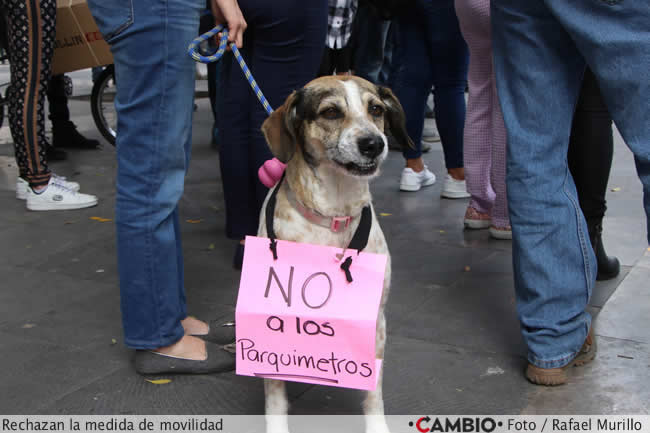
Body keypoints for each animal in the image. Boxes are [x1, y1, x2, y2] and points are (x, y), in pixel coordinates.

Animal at [256, 75, 412, 432]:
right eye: (330, 112)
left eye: (376, 109)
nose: (374, 144)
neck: (334, 217)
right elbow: (274, 394)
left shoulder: (376, 322)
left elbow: (373, 392)